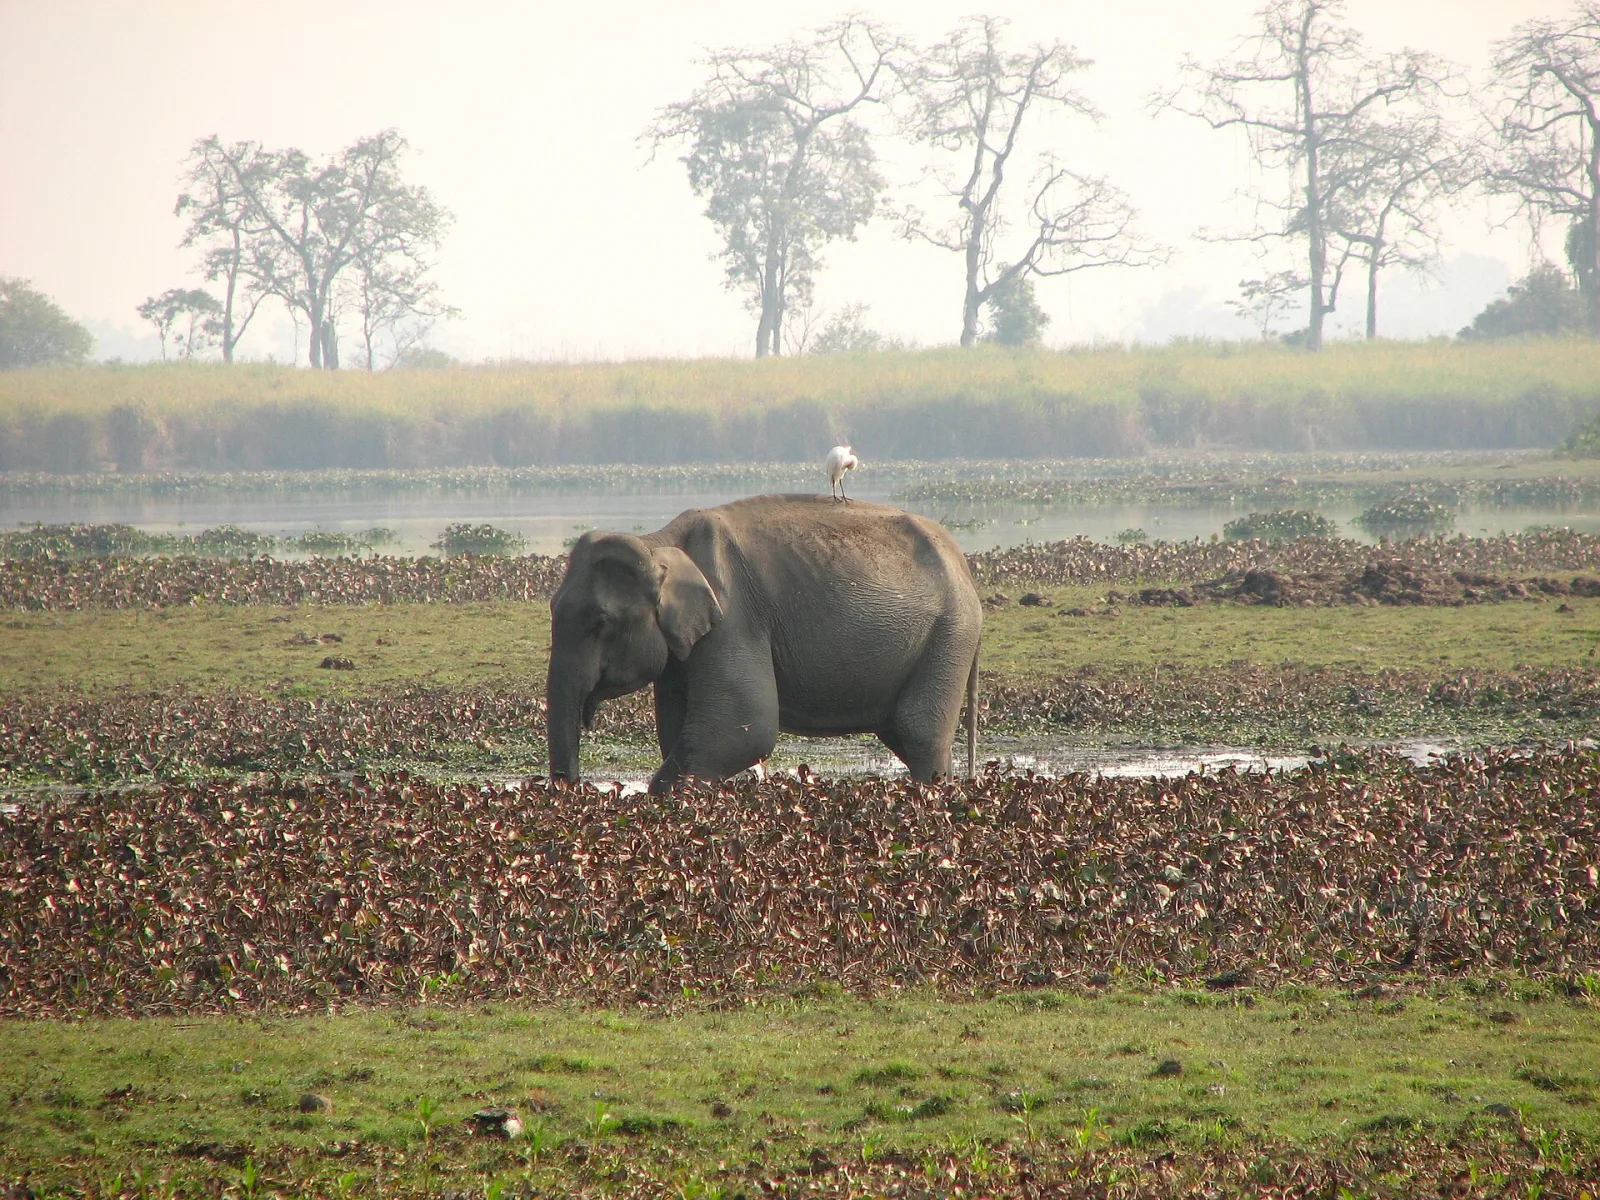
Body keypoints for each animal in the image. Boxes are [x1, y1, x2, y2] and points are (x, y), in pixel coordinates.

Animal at [545, 494, 982, 793]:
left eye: (600, 623)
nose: (579, 788)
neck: (659, 541)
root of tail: (963, 564)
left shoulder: (734, 617)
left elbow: (743, 728)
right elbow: (678, 729)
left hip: (950, 634)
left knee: (918, 732)